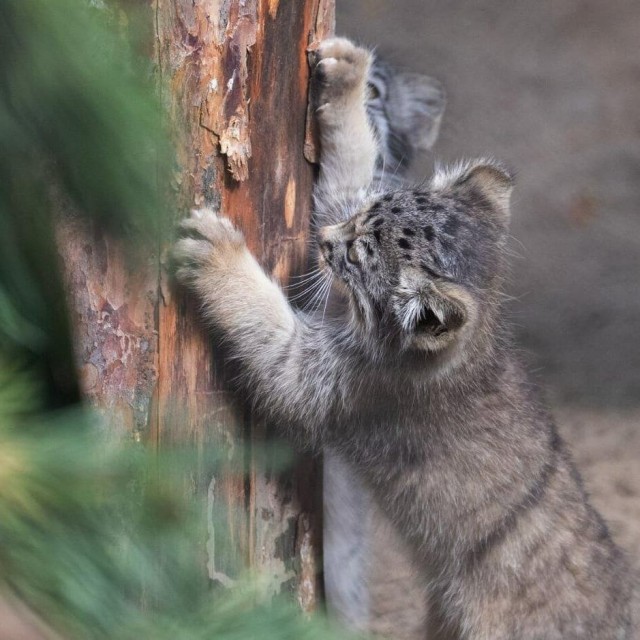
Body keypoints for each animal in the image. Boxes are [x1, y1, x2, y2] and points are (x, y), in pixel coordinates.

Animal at [172, 38, 636, 640]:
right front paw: (347, 75)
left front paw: (217, 253)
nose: (323, 239)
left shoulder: (325, 379)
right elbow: (347, 171)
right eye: (362, 214)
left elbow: (266, 326)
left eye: (355, 254)